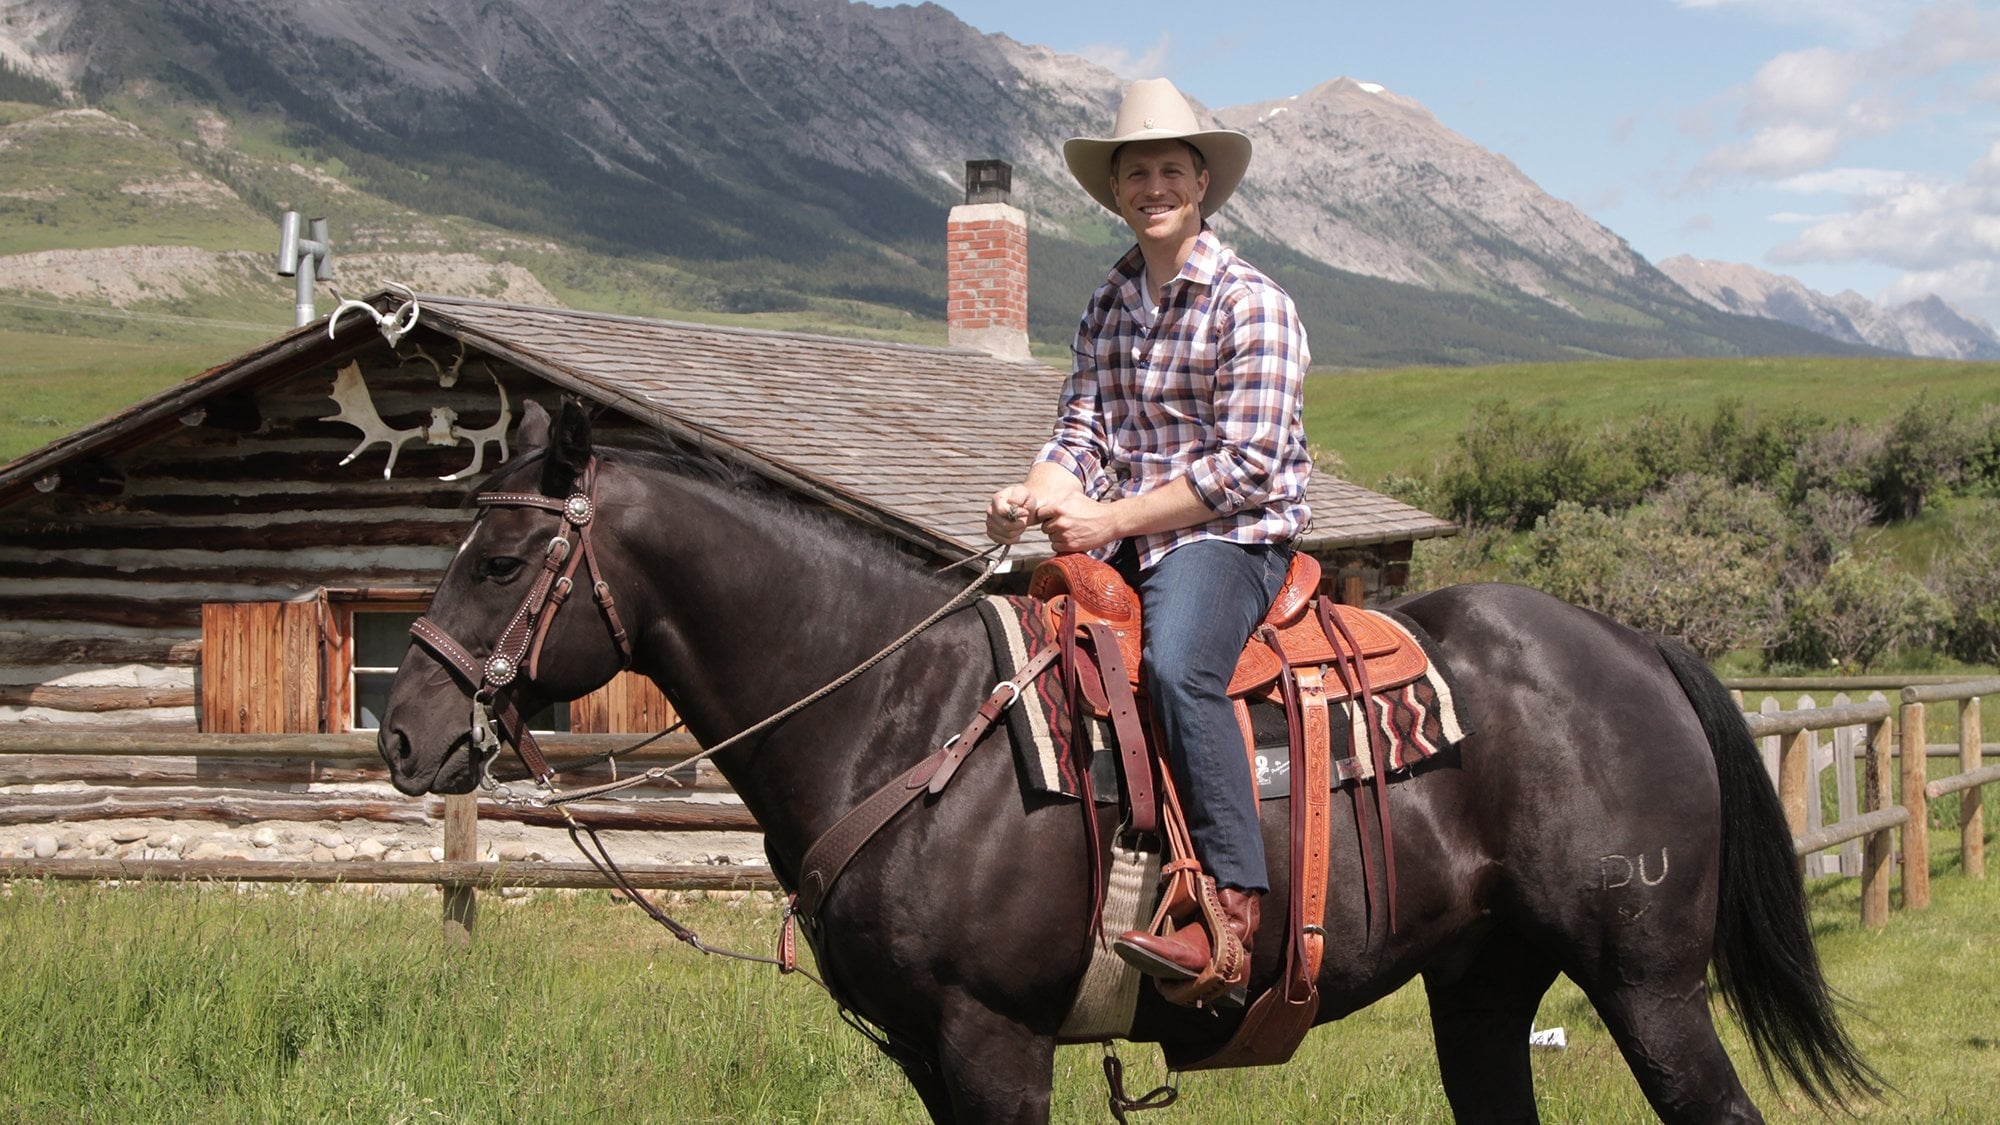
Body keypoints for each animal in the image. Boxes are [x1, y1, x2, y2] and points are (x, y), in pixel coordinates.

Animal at [376, 398, 1872, 1112]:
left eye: (499, 560)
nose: (405, 733)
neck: (902, 719)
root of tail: (1633, 648)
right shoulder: (925, 1052)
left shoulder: (992, 1039)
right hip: (1485, 985)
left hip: (1650, 986)